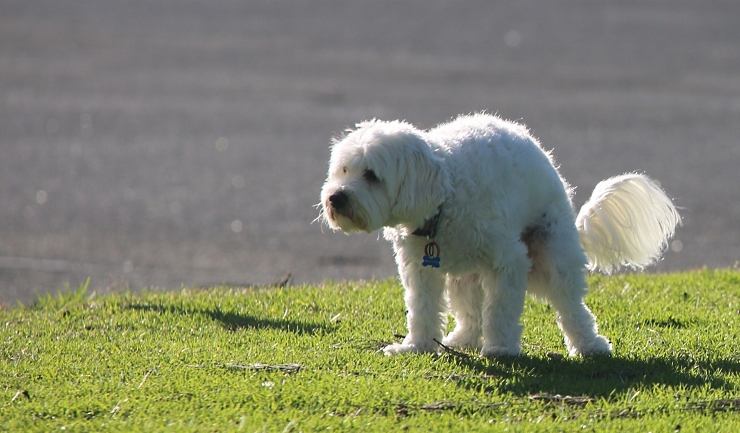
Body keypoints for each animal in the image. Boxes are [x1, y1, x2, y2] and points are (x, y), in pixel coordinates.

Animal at [320, 113, 680, 356]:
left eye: (372, 175)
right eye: (343, 170)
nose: (336, 198)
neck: (445, 195)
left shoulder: (509, 262)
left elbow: (501, 309)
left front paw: (501, 348)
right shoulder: (420, 268)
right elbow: (422, 308)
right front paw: (417, 346)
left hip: (554, 255)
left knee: (571, 306)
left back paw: (588, 344)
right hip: (463, 275)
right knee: (469, 312)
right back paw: (462, 339)